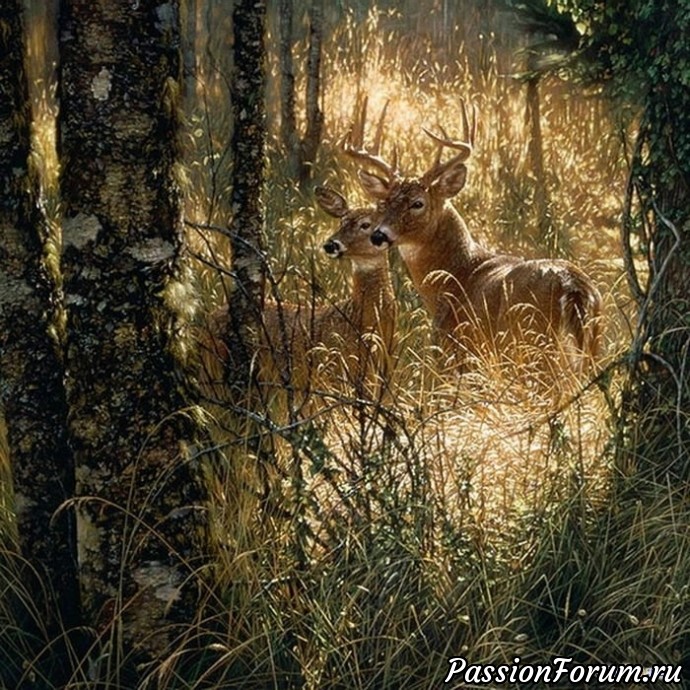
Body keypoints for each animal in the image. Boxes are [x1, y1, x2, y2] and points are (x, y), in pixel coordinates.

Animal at [346, 99, 600, 376]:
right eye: (383, 203)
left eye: (418, 203)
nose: (379, 235)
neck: (456, 273)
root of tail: (573, 287)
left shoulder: (456, 348)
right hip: (590, 346)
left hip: (532, 345)